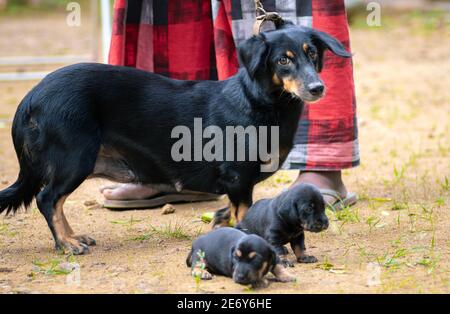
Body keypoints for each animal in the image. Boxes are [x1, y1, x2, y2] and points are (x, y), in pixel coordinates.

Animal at [0, 22, 352, 254]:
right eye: (283, 59)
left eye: (312, 54)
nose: (317, 88)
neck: (259, 103)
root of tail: (30, 97)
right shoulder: (238, 178)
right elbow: (243, 212)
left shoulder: (238, 185)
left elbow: (232, 212)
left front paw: (221, 222)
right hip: (75, 159)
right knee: (49, 199)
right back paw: (66, 242)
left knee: (55, 201)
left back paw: (74, 237)